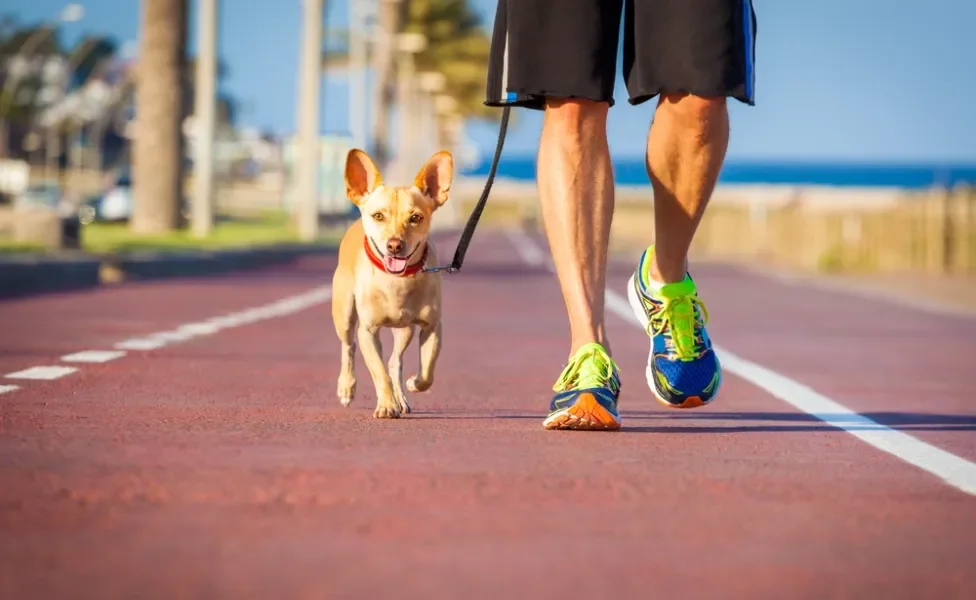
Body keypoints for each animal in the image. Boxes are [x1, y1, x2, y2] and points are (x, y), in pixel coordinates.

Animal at [328, 148, 450, 420]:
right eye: (378, 216)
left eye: (415, 217)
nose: (395, 245)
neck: (397, 281)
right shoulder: (368, 331)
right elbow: (379, 372)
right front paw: (385, 405)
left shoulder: (432, 327)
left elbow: (427, 371)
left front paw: (414, 384)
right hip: (344, 314)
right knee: (348, 346)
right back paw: (346, 387)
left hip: (405, 330)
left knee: (395, 361)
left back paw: (401, 397)